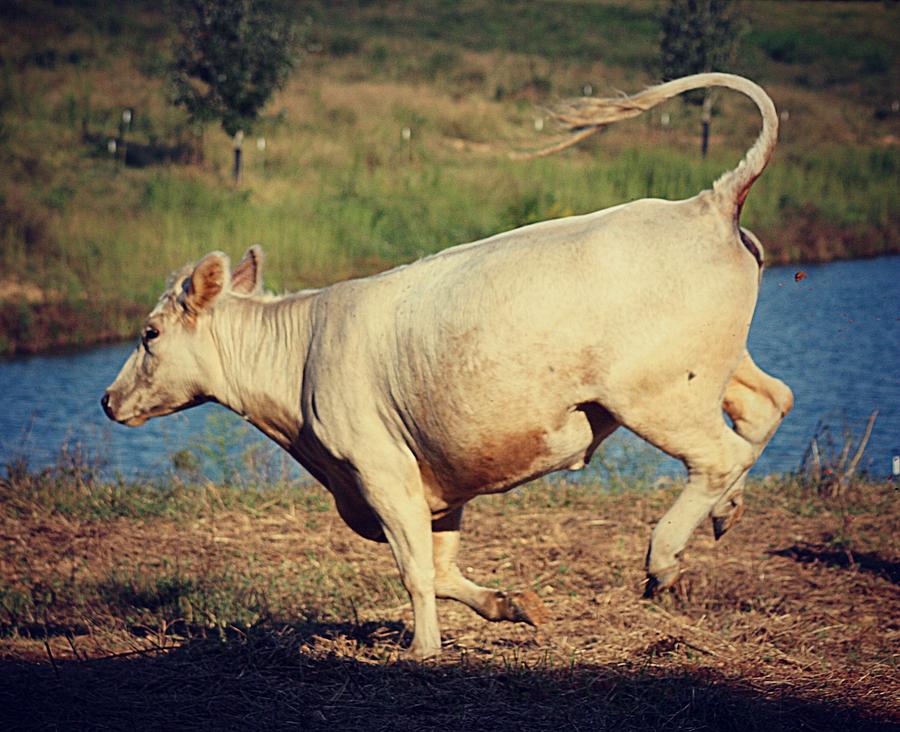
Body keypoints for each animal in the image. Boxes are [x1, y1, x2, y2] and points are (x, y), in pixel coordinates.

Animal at [105, 73, 792, 656]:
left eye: (149, 333)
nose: (108, 401)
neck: (301, 361)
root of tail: (705, 204)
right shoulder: (440, 481)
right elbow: (440, 569)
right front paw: (516, 605)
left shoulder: (384, 473)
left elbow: (415, 572)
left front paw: (423, 650)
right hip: (719, 369)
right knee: (767, 407)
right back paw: (725, 513)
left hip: (656, 394)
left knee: (720, 455)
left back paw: (664, 560)